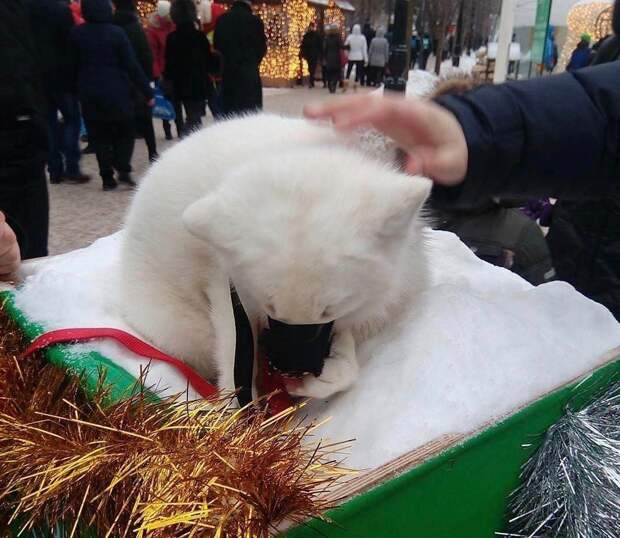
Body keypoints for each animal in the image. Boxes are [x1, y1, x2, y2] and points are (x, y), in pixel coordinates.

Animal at [121, 114, 432, 398]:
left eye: (329, 310)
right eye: (269, 306)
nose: (291, 371)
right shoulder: (229, 294)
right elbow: (234, 367)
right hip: (187, 329)